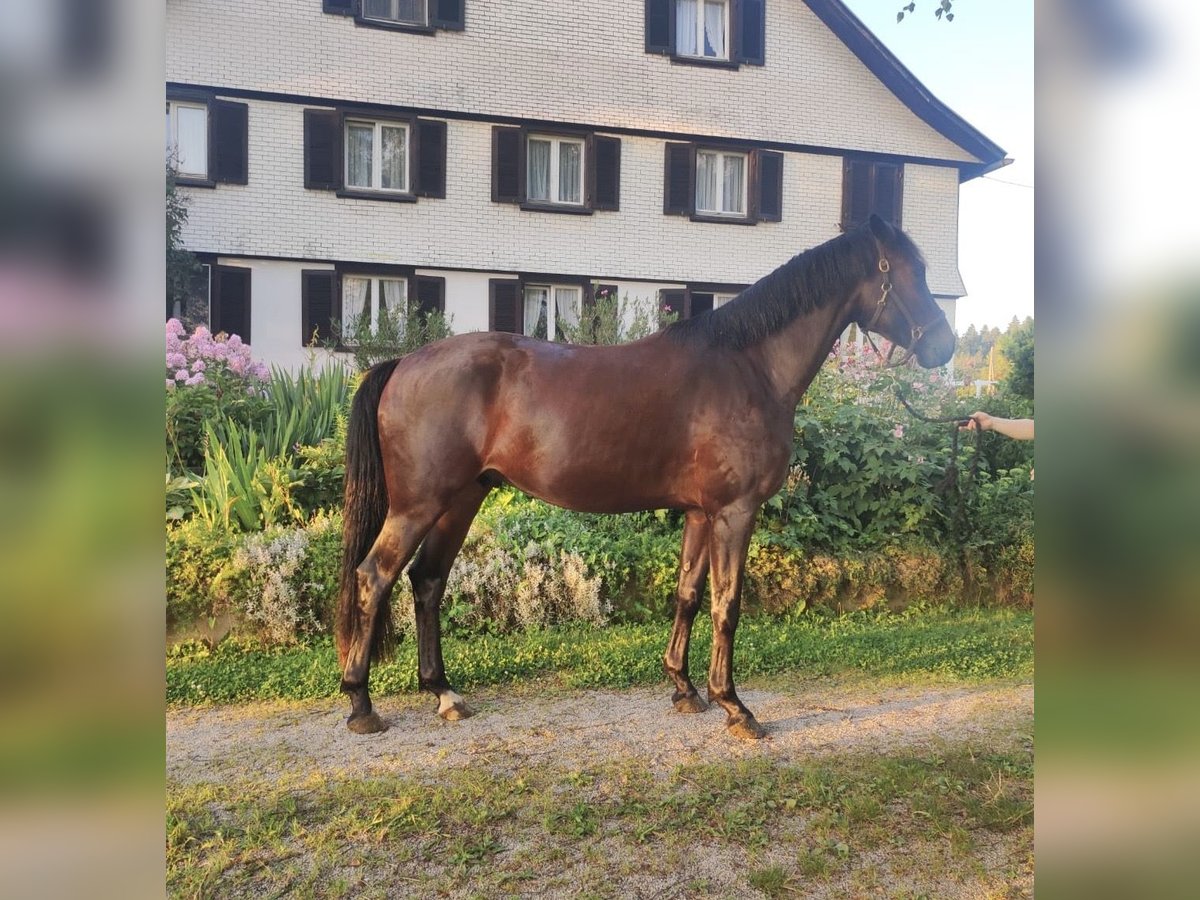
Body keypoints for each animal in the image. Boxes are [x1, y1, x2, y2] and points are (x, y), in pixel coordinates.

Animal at [336, 217, 955, 739]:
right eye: (907, 272)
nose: (943, 345)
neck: (748, 366)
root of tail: (403, 363)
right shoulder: (734, 512)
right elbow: (727, 605)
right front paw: (735, 706)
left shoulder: (702, 513)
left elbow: (687, 594)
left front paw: (685, 689)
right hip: (419, 504)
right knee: (374, 577)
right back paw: (361, 704)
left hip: (462, 498)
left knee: (427, 581)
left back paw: (443, 693)